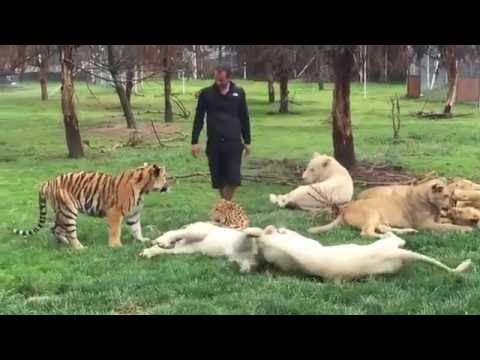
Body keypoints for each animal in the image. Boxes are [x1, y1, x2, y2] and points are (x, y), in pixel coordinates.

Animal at [14, 165, 171, 249]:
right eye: (165, 176)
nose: (170, 184)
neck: (144, 189)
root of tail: (46, 182)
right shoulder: (115, 212)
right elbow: (115, 230)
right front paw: (115, 246)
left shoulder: (134, 214)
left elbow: (136, 228)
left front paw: (142, 240)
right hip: (68, 211)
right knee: (70, 232)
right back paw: (79, 248)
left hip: (60, 212)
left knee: (55, 228)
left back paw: (65, 244)